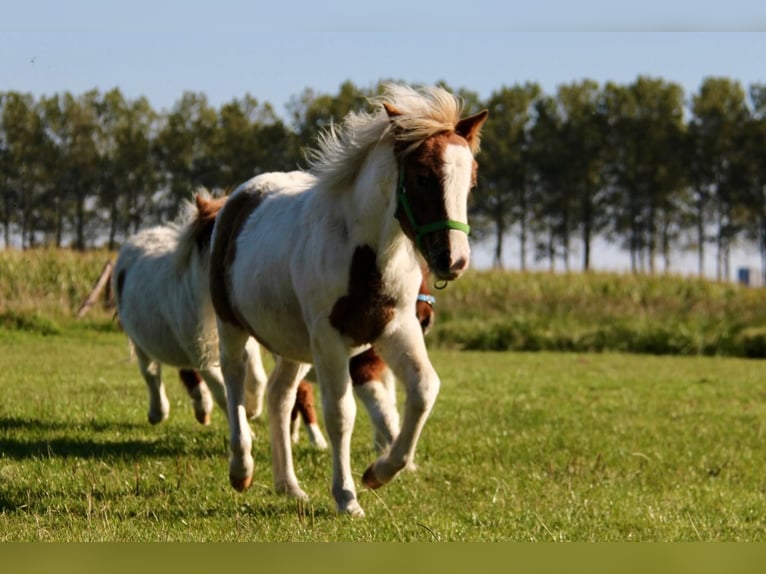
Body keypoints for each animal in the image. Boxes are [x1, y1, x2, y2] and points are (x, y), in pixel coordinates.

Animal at [210, 84, 486, 516]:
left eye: (471, 181)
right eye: (423, 176)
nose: (452, 260)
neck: (366, 255)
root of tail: (238, 199)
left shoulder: (395, 328)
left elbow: (424, 389)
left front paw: (379, 472)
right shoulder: (330, 338)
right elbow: (341, 414)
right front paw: (346, 497)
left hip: (294, 344)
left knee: (278, 396)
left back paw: (289, 485)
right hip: (233, 326)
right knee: (236, 383)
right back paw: (242, 470)